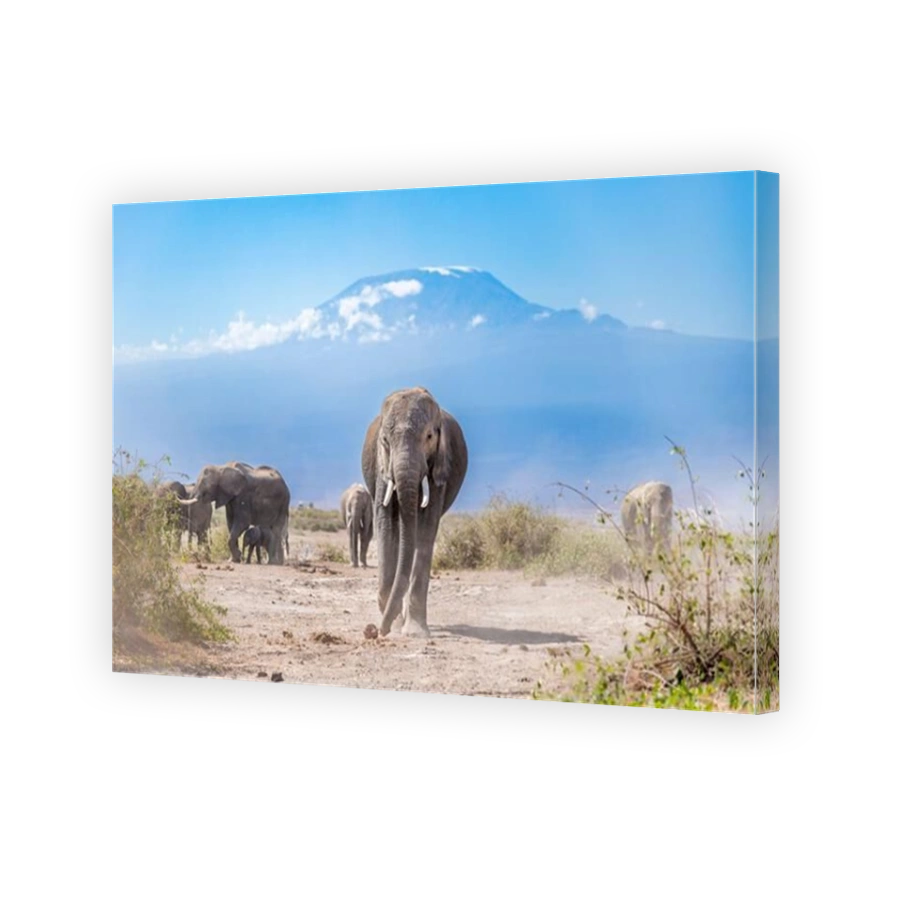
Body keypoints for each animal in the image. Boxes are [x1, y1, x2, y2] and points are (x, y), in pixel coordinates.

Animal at [361, 386, 468, 637]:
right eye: (385, 440)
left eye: (429, 437)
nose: (375, 631)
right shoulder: (382, 466)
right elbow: (385, 523)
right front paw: (394, 625)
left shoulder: (439, 466)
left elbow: (426, 529)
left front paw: (415, 632)